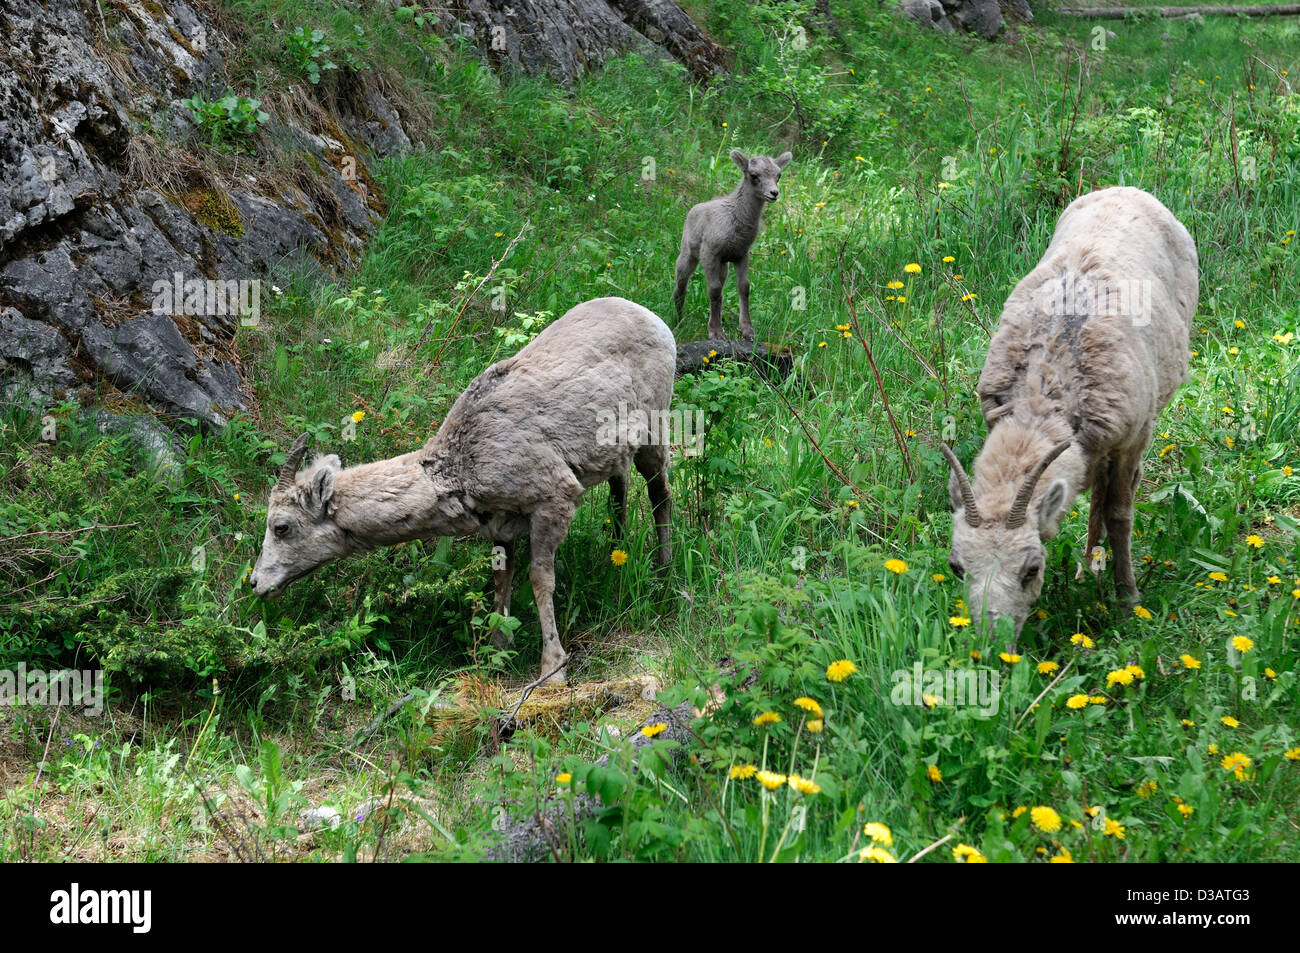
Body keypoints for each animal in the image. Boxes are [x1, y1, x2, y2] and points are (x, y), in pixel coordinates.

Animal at [244, 297, 676, 686]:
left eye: (281, 527)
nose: (255, 585)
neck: (462, 469)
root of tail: (651, 317)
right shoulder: (501, 525)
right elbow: (502, 579)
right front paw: (498, 647)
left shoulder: (553, 500)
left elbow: (540, 580)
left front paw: (552, 670)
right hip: (616, 454)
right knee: (620, 491)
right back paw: (617, 554)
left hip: (655, 432)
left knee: (661, 494)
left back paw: (664, 576)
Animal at [676, 146, 795, 340]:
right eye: (753, 175)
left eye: (778, 175)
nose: (774, 193)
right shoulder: (710, 253)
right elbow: (713, 290)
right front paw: (715, 332)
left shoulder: (741, 255)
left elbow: (743, 288)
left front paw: (747, 330)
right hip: (688, 254)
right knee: (682, 282)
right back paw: (678, 318)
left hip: (723, 265)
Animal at [941, 184, 1190, 647]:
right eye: (957, 567)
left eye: (1032, 569)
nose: (991, 646)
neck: (1048, 384)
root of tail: (1125, 188)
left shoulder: (1128, 441)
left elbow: (1119, 515)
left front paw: (1128, 600)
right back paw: (1086, 567)